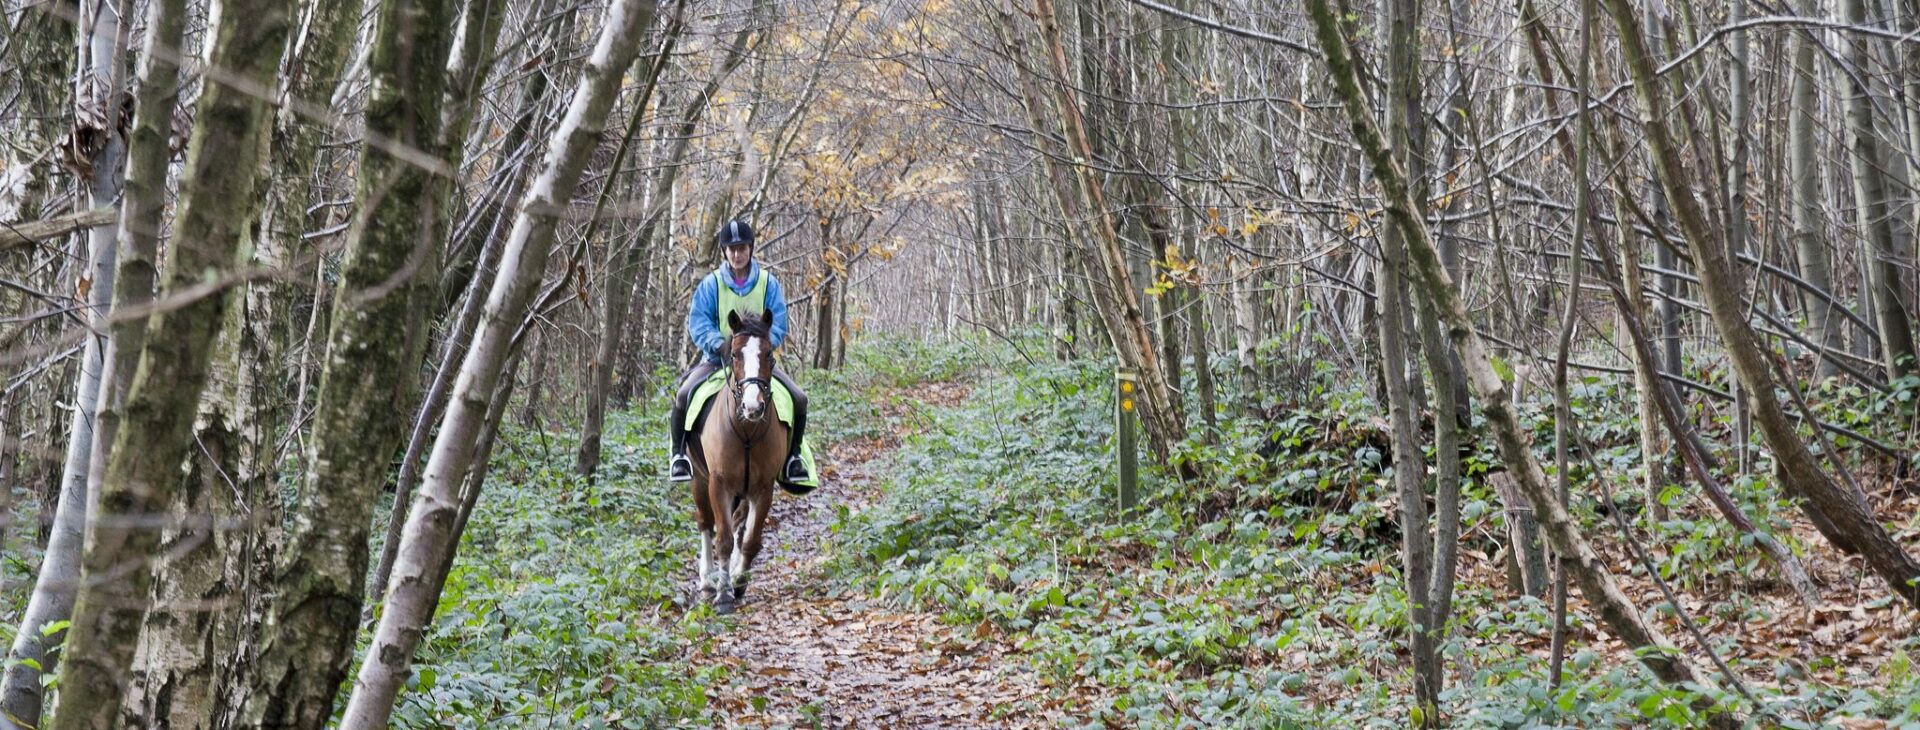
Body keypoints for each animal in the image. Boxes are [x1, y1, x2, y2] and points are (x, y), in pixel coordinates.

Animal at [691, 305, 787, 614]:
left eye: (768, 354)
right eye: (733, 355)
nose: (752, 406)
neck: (746, 431)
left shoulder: (763, 489)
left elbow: (750, 541)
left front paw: (739, 582)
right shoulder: (718, 484)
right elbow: (722, 540)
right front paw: (722, 595)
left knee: (739, 526)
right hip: (699, 480)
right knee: (706, 524)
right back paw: (707, 581)